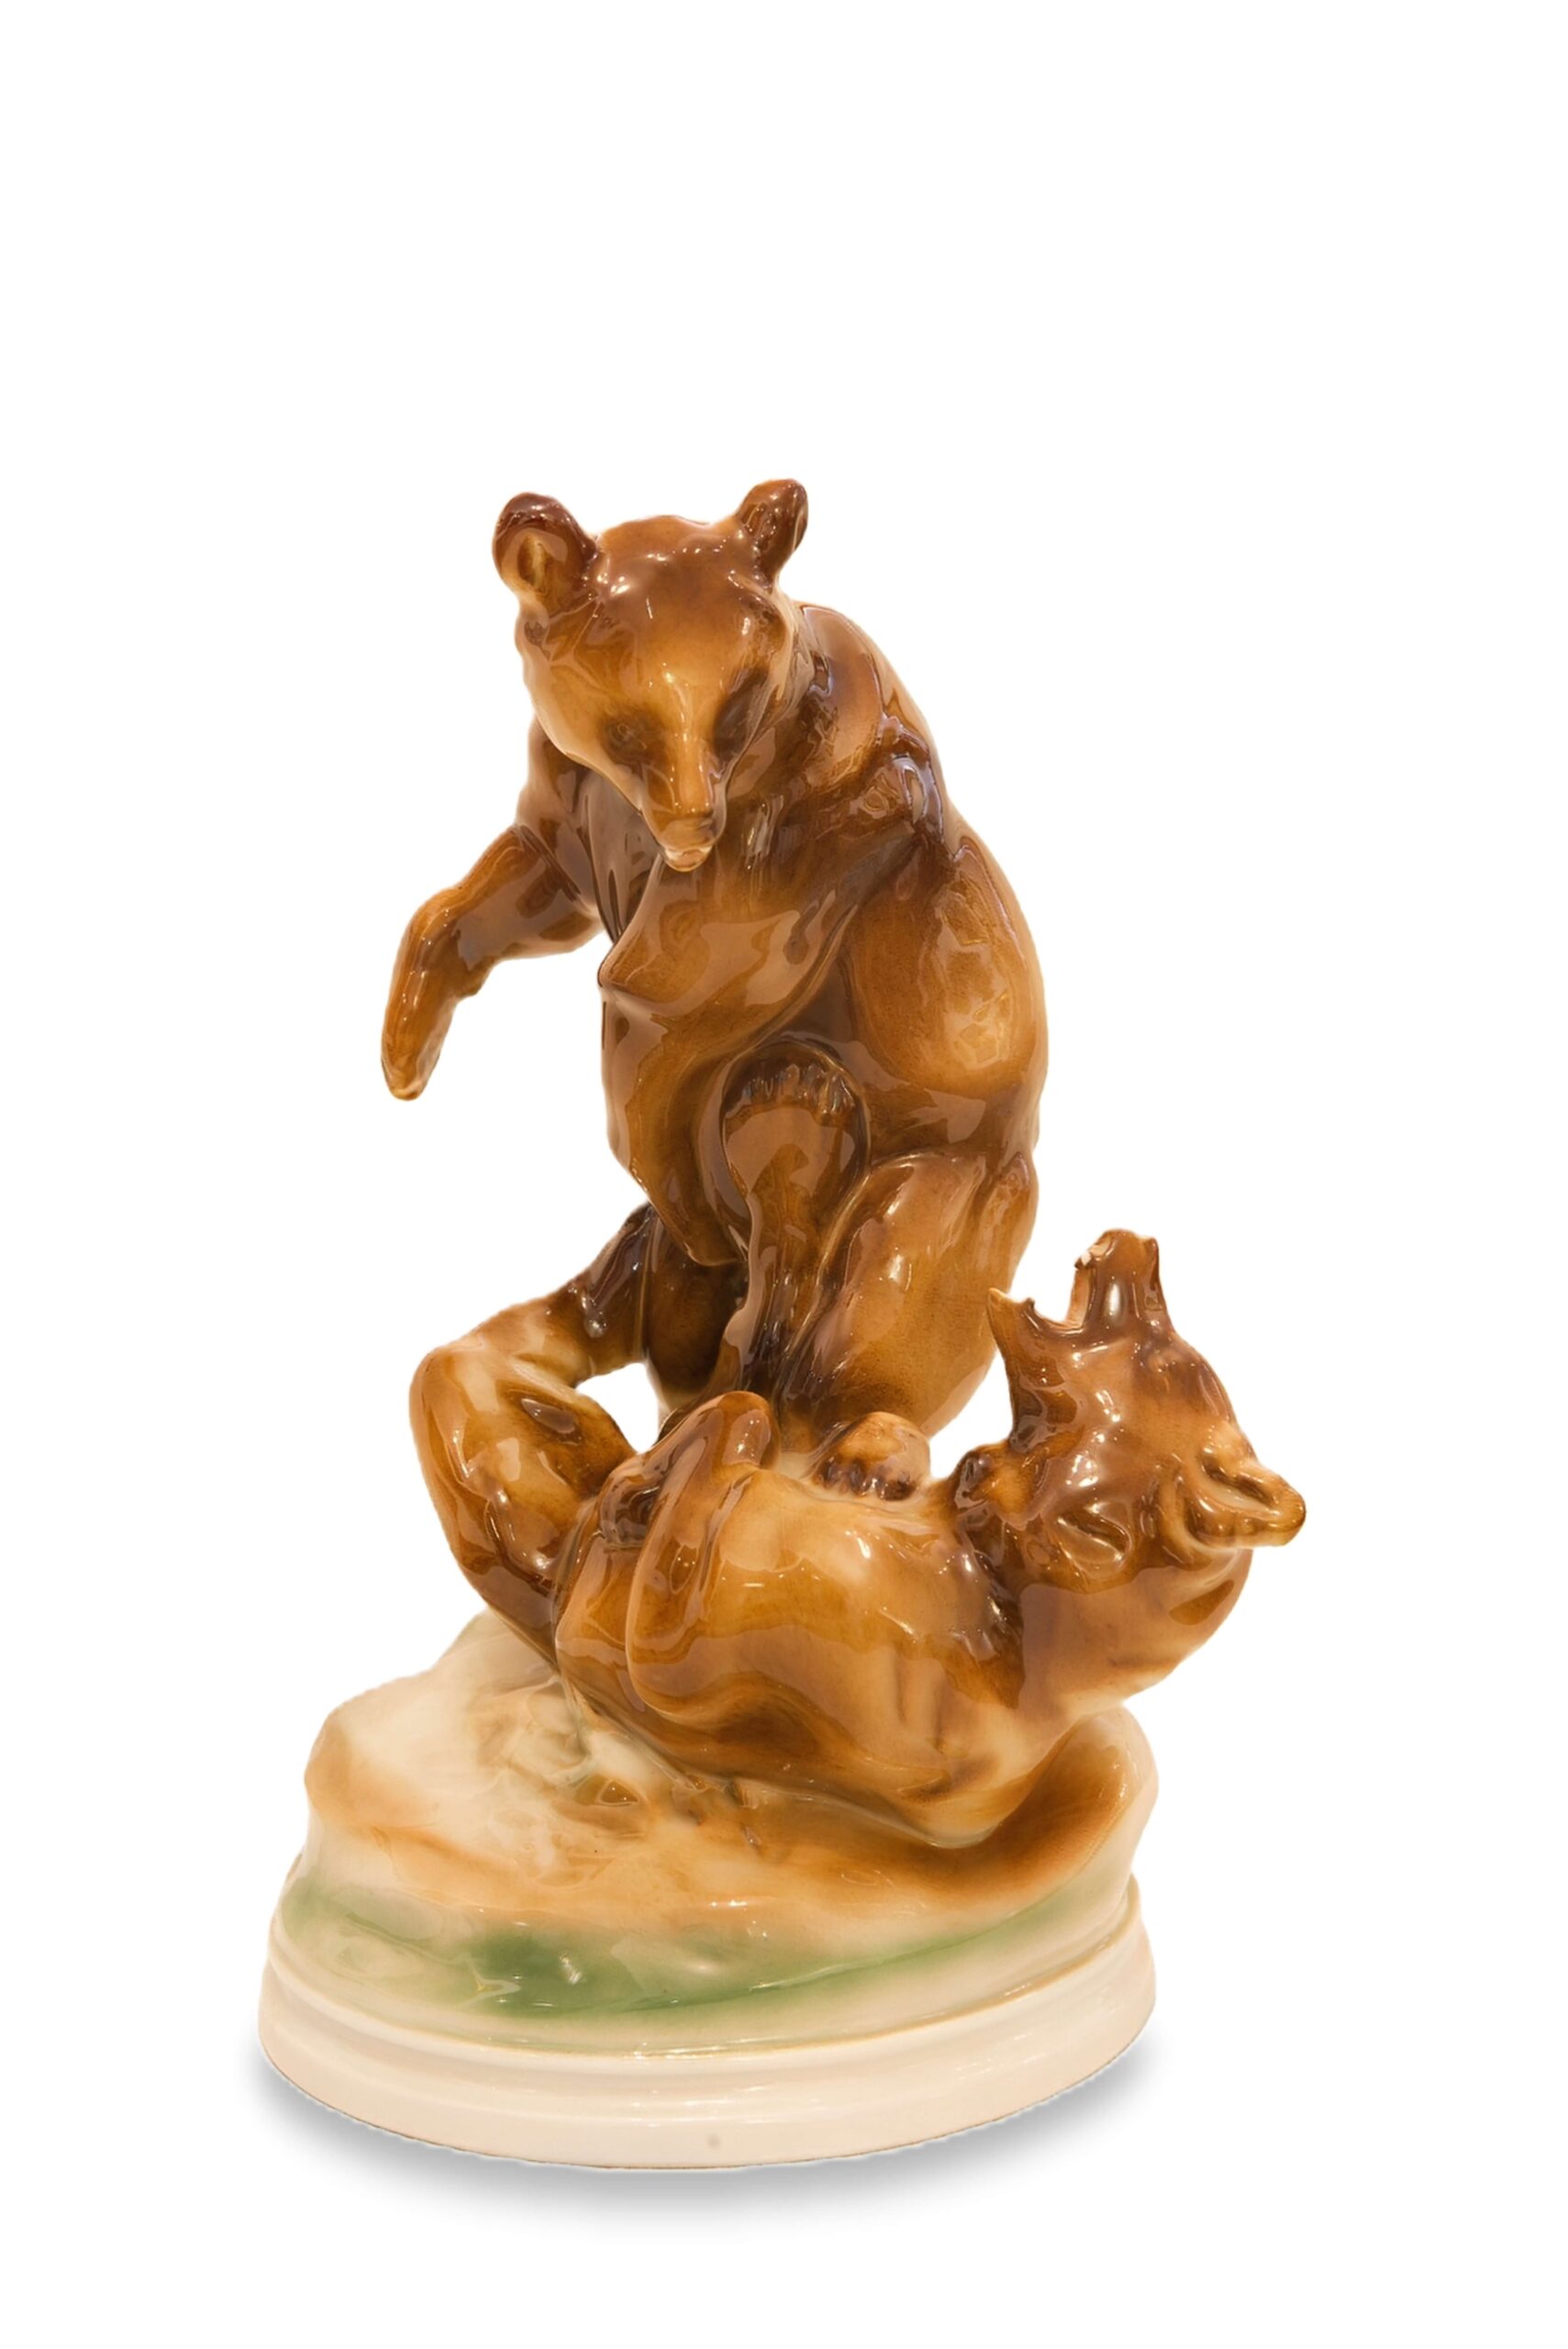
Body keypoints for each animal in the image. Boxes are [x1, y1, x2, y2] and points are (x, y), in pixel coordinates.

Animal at [382, 482, 1046, 1456]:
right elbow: (483, 908)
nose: (694, 826)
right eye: (630, 727)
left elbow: (657, 997)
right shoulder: (566, 812)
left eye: (735, 710)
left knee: (855, 1331)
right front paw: (405, 1051)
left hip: (947, 1192)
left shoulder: (808, 838)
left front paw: (681, 1186)